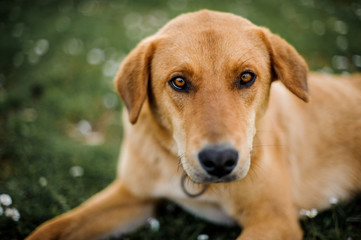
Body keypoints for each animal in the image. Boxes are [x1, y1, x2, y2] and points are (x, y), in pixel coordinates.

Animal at [26, 9, 358, 240]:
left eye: (246, 77)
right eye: (179, 81)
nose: (219, 160)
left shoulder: (274, 219)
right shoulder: (133, 196)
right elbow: (52, 227)